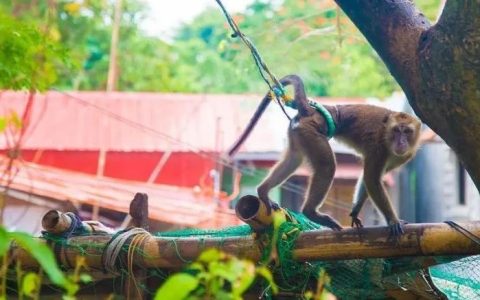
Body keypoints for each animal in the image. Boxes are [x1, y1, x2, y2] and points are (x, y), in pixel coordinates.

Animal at [229, 74, 420, 237]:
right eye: (396, 130)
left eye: (407, 132)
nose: (401, 142)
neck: (388, 138)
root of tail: (309, 110)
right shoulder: (379, 148)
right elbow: (372, 179)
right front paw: (393, 221)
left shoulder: (403, 156)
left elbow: (369, 178)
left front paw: (355, 211)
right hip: (310, 131)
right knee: (327, 166)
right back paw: (310, 212)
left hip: (299, 131)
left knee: (294, 159)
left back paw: (263, 190)